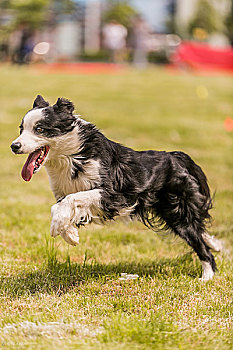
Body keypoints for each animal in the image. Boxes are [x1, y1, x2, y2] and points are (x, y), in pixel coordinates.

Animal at [11, 94, 222, 280]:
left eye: (40, 129)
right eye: (21, 128)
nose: (14, 146)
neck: (71, 156)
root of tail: (175, 156)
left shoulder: (114, 195)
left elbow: (72, 200)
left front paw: (59, 227)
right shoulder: (64, 191)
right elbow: (61, 206)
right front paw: (70, 234)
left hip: (177, 210)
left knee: (201, 246)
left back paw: (206, 277)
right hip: (170, 211)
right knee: (200, 230)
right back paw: (216, 244)